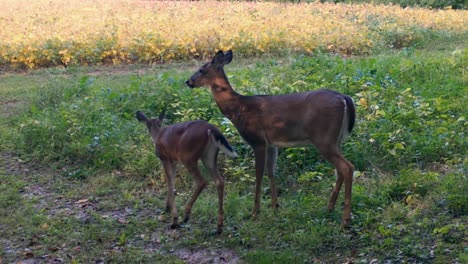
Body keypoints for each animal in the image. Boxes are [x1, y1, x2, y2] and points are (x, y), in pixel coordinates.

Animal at [186, 50, 354, 227]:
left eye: (202, 69)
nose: (188, 81)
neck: (238, 107)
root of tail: (344, 98)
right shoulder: (272, 144)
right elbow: (271, 171)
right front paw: (275, 206)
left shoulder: (257, 141)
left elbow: (258, 174)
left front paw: (255, 211)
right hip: (336, 139)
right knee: (340, 169)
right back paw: (330, 207)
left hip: (324, 138)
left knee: (347, 167)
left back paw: (345, 219)